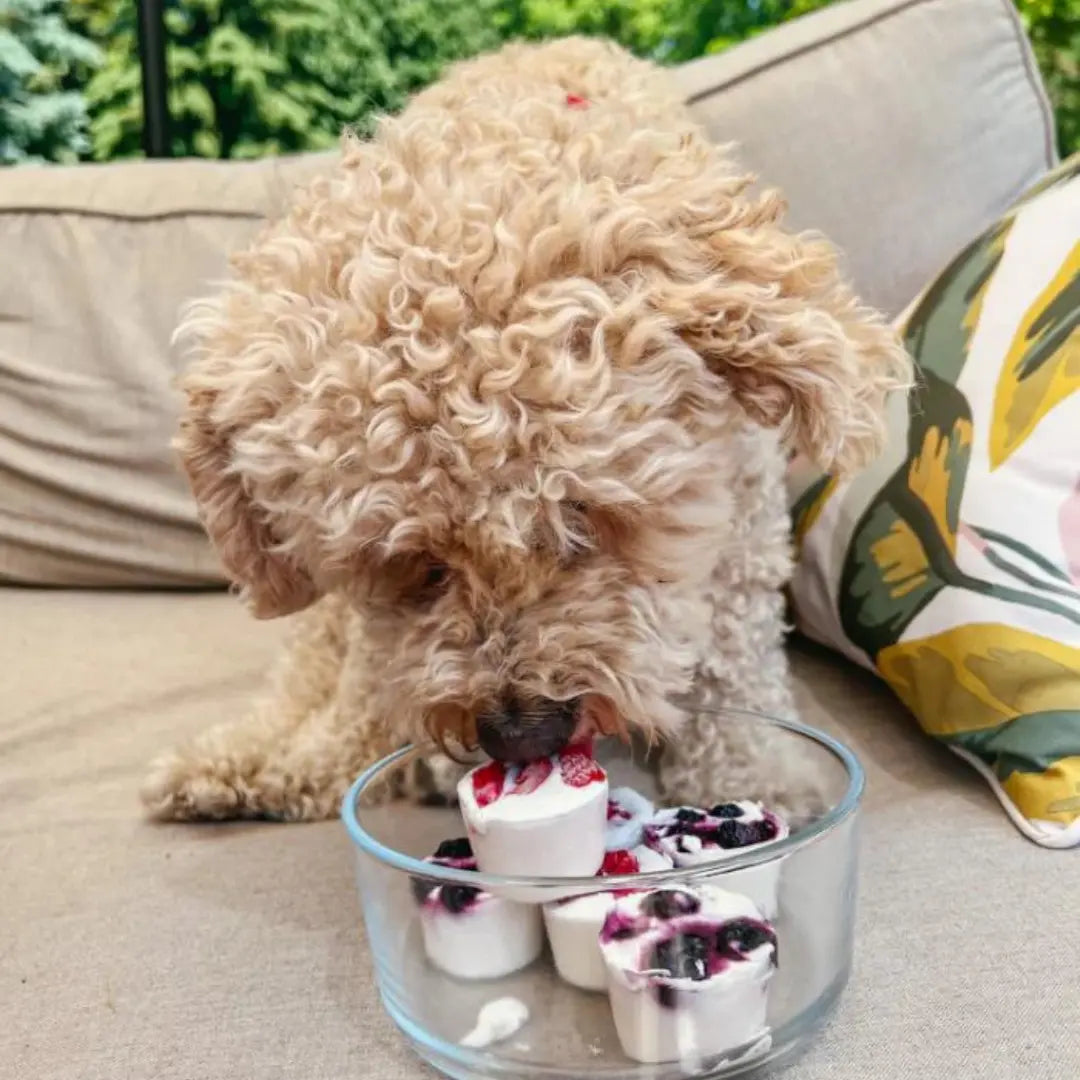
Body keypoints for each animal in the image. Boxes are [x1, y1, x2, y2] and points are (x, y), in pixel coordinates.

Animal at [139, 38, 907, 820]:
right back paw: (251, 763)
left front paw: (751, 777)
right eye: (416, 566)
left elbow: (732, 646)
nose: (520, 734)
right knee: (316, 692)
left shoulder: (742, 503)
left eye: (587, 523)